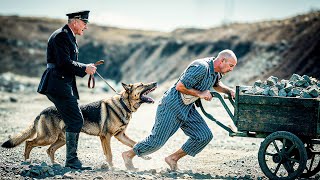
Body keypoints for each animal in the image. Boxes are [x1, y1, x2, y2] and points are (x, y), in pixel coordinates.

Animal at [1, 81, 157, 167]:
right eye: (142, 85)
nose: (155, 83)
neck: (124, 104)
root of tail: (41, 112)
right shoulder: (106, 137)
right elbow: (110, 154)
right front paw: (112, 167)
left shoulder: (120, 136)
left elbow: (135, 144)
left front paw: (145, 156)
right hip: (48, 138)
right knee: (29, 142)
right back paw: (27, 160)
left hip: (62, 139)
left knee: (49, 150)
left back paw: (54, 164)